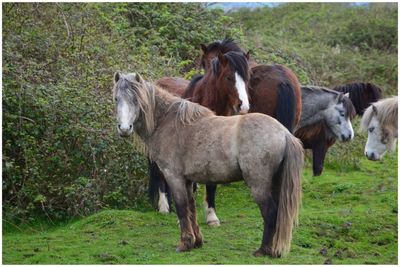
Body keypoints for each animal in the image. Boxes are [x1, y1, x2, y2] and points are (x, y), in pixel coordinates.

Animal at [112, 72, 304, 258]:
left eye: (136, 99)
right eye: (116, 99)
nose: (124, 128)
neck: (168, 123)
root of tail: (284, 133)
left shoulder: (174, 177)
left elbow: (182, 208)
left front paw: (185, 244)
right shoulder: (188, 180)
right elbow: (191, 209)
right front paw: (196, 242)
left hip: (259, 185)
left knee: (270, 213)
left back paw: (263, 250)